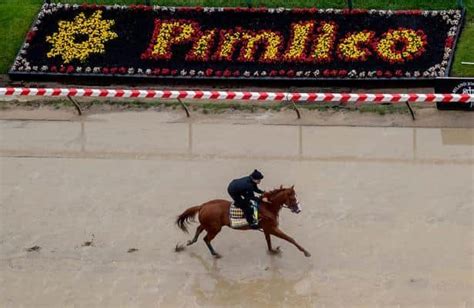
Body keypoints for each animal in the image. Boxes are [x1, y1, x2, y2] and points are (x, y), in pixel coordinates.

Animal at [175, 186, 312, 258]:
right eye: (293, 198)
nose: (299, 209)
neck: (268, 207)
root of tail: (202, 206)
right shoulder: (272, 228)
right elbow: (290, 239)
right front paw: (306, 252)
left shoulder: (267, 229)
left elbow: (268, 240)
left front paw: (273, 250)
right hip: (215, 228)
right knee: (206, 239)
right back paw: (215, 253)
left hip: (209, 225)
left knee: (199, 229)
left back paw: (190, 242)